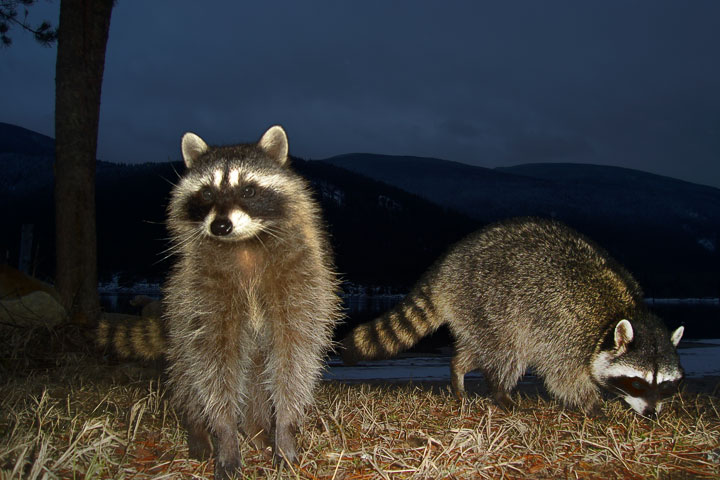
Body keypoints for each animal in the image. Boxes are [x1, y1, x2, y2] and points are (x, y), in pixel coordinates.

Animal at [165, 125, 342, 478]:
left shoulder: (302, 279)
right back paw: (199, 428)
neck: (244, 245)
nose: (220, 225)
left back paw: (258, 430)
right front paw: (224, 434)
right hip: (178, 323)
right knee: (187, 374)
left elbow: (295, 356)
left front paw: (285, 430)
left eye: (247, 190)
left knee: (259, 379)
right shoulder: (200, 292)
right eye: (207, 193)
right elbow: (213, 365)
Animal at [344, 218, 688, 416]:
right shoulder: (569, 331)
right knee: (508, 351)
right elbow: (563, 376)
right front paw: (593, 405)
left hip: (476, 312)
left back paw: (459, 370)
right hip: (492, 301)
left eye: (665, 385)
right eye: (637, 382)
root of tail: (446, 268)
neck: (623, 311)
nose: (653, 414)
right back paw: (500, 393)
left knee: (479, 348)